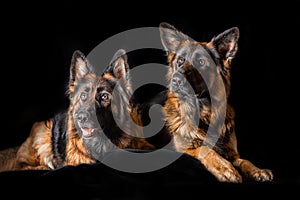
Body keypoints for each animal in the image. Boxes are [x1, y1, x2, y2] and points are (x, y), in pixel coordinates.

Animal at [159, 22, 274, 183]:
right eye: (180, 60)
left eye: (201, 62)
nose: (175, 80)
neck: (204, 114)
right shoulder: (182, 150)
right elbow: (205, 148)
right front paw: (225, 168)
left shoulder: (233, 154)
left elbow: (244, 161)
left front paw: (257, 170)